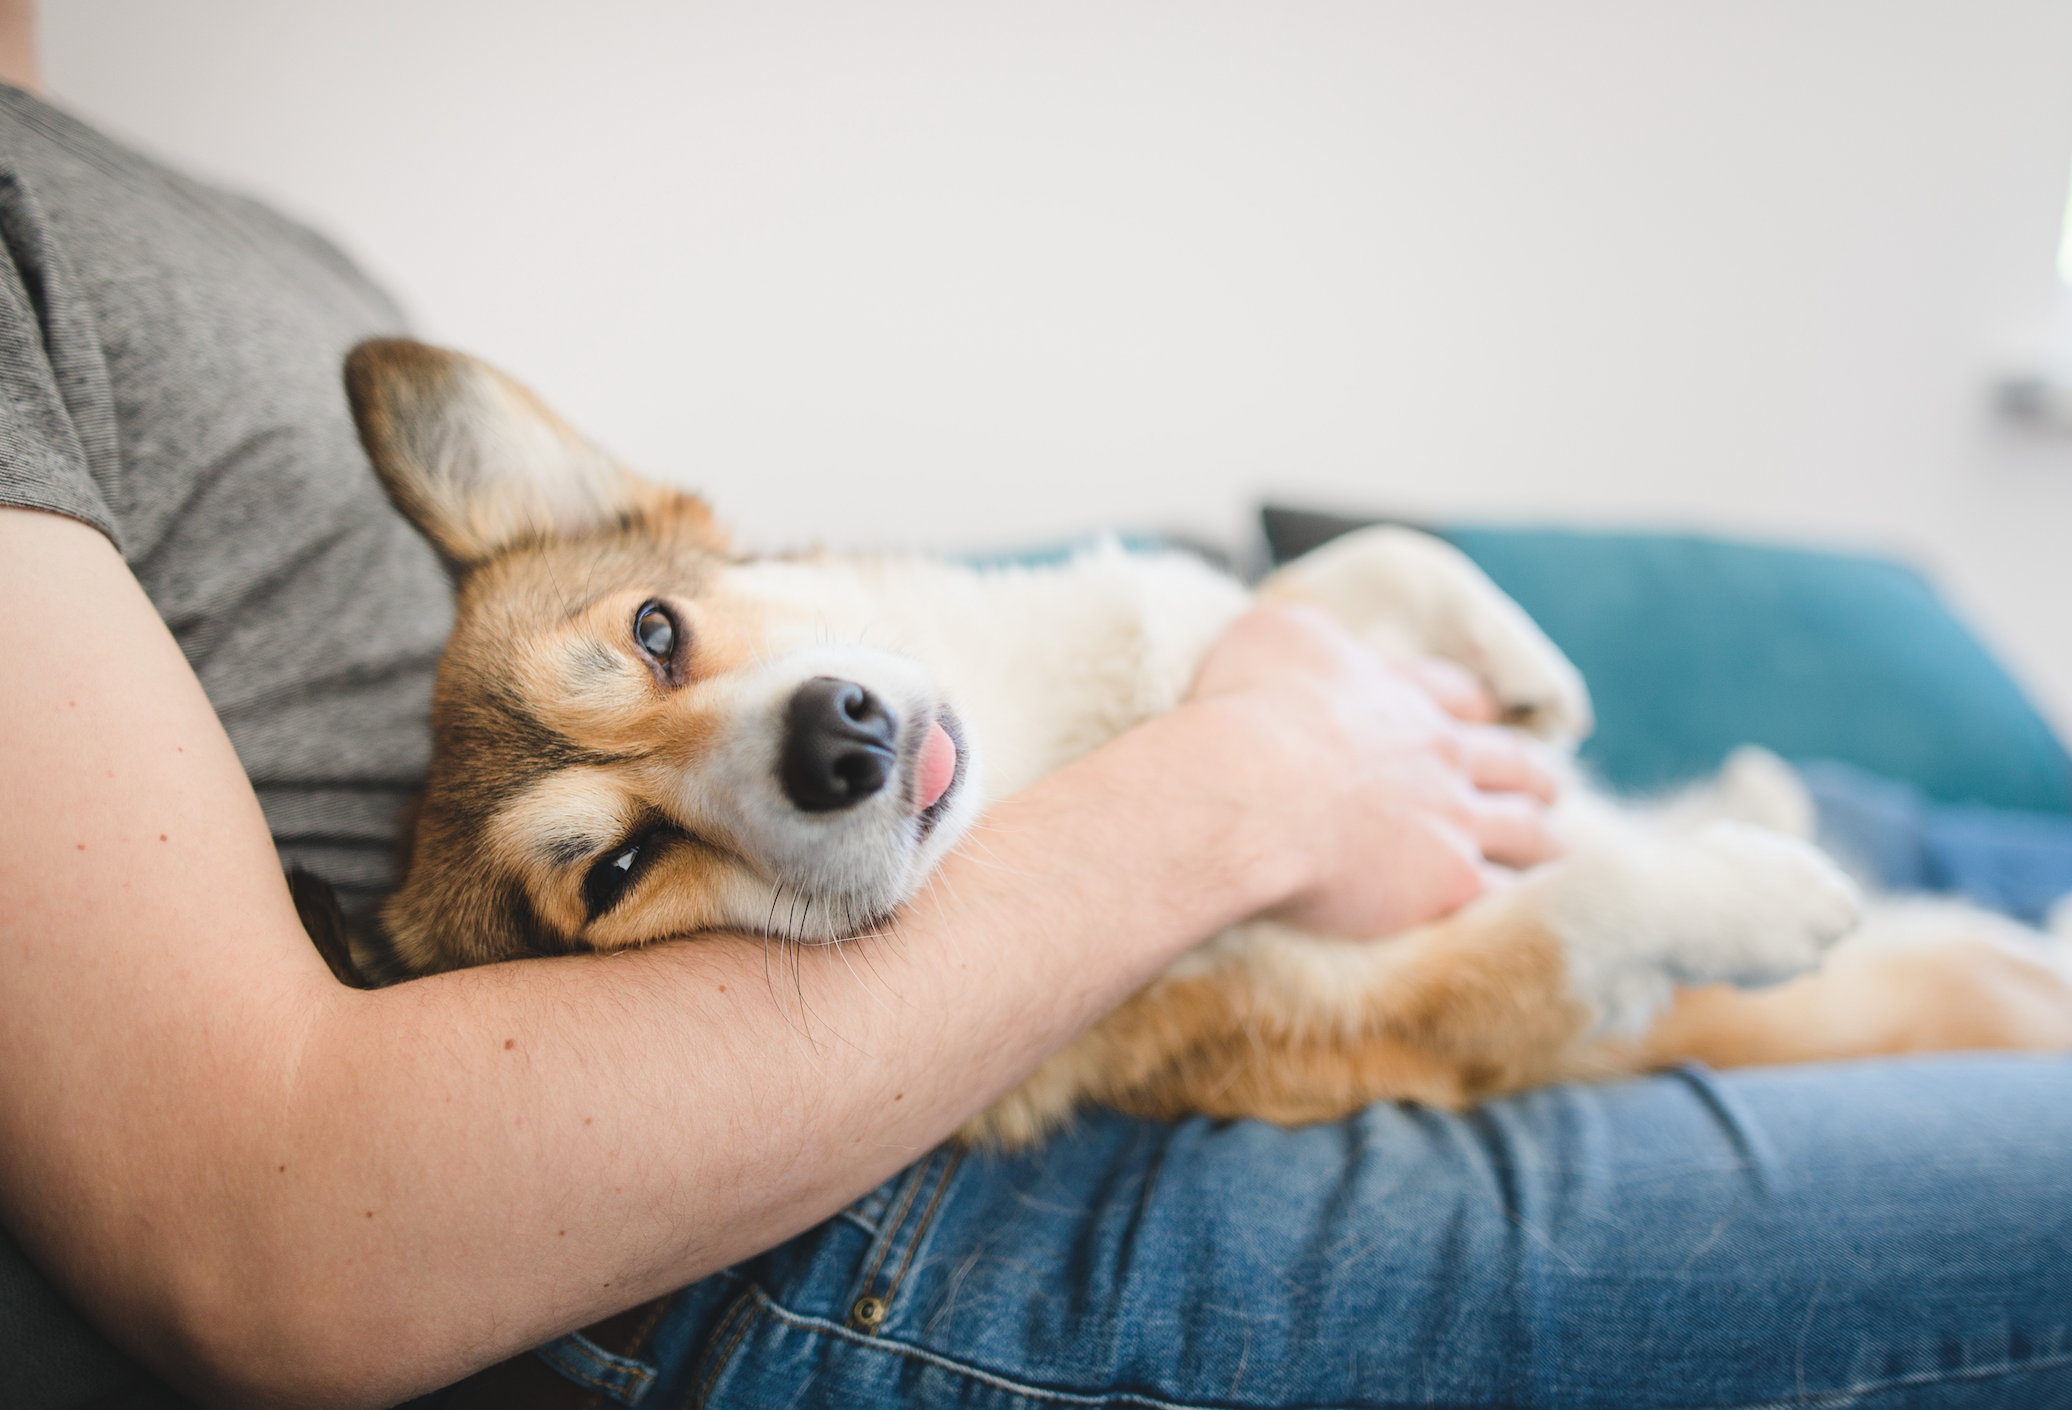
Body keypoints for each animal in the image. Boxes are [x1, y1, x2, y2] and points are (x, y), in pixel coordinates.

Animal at [339, 341, 2072, 1142]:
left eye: (655, 630)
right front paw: (1761, 893)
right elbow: (1586, 906)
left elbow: (1337, 574)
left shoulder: (1237, 635)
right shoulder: (1422, 999)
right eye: (620, 874)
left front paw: (1531, 678)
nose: (839, 743)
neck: (1056, 739)